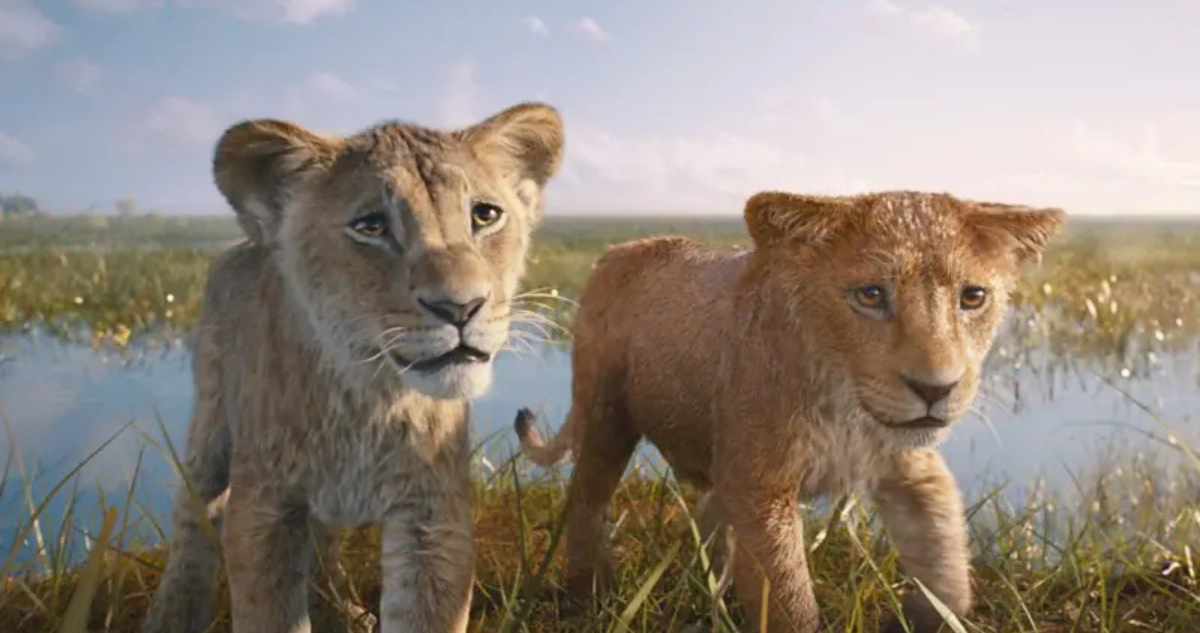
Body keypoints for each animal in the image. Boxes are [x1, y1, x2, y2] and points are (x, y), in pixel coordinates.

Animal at [142, 102, 564, 633]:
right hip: (210, 422)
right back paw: (172, 614)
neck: (368, 395)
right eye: (371, 226)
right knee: (193, 516)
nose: (462, 307)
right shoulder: (264, 509)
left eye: (484, 215)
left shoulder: (432, 514)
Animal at [514, 190, 1065, 633]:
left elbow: (945, 558)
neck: (845, 404)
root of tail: (619, 249)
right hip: (605, 412)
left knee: (711, 516)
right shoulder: (761, 485)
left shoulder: (909, 465)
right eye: (871, 295)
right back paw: (587, 593)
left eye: (973, 297)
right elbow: (789, 599)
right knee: (587, 498)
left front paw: (922, 616)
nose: (936, 388)